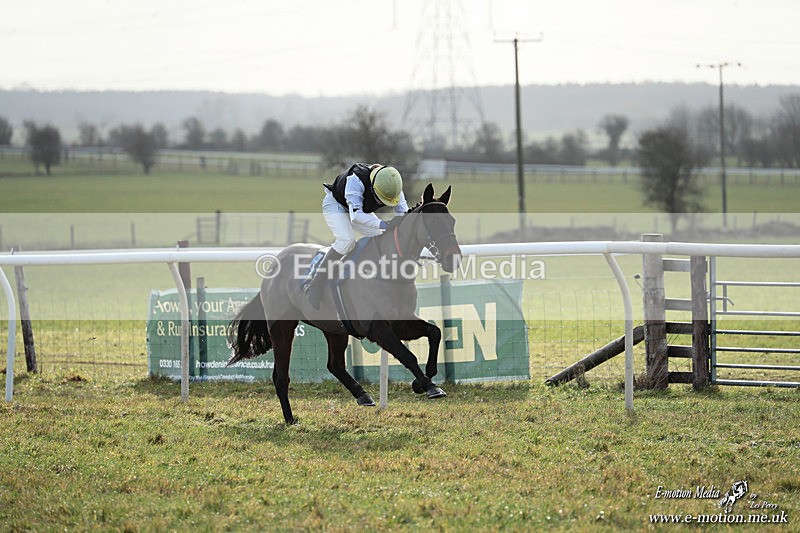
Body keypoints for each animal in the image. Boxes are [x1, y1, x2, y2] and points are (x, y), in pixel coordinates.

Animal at [227, 183, 462, 424]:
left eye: (452, 221)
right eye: (433, 222)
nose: (453, 258)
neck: (388, 270)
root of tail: (273, 267)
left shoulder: (402, 322)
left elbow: (434, 332)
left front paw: (423, 380)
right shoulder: (377, 327)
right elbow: (407, 355)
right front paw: (428, 386)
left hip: (334, 327)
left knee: (335, 365)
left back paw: (362, 394)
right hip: (282, 327)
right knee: (281, 376)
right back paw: (290, 418)